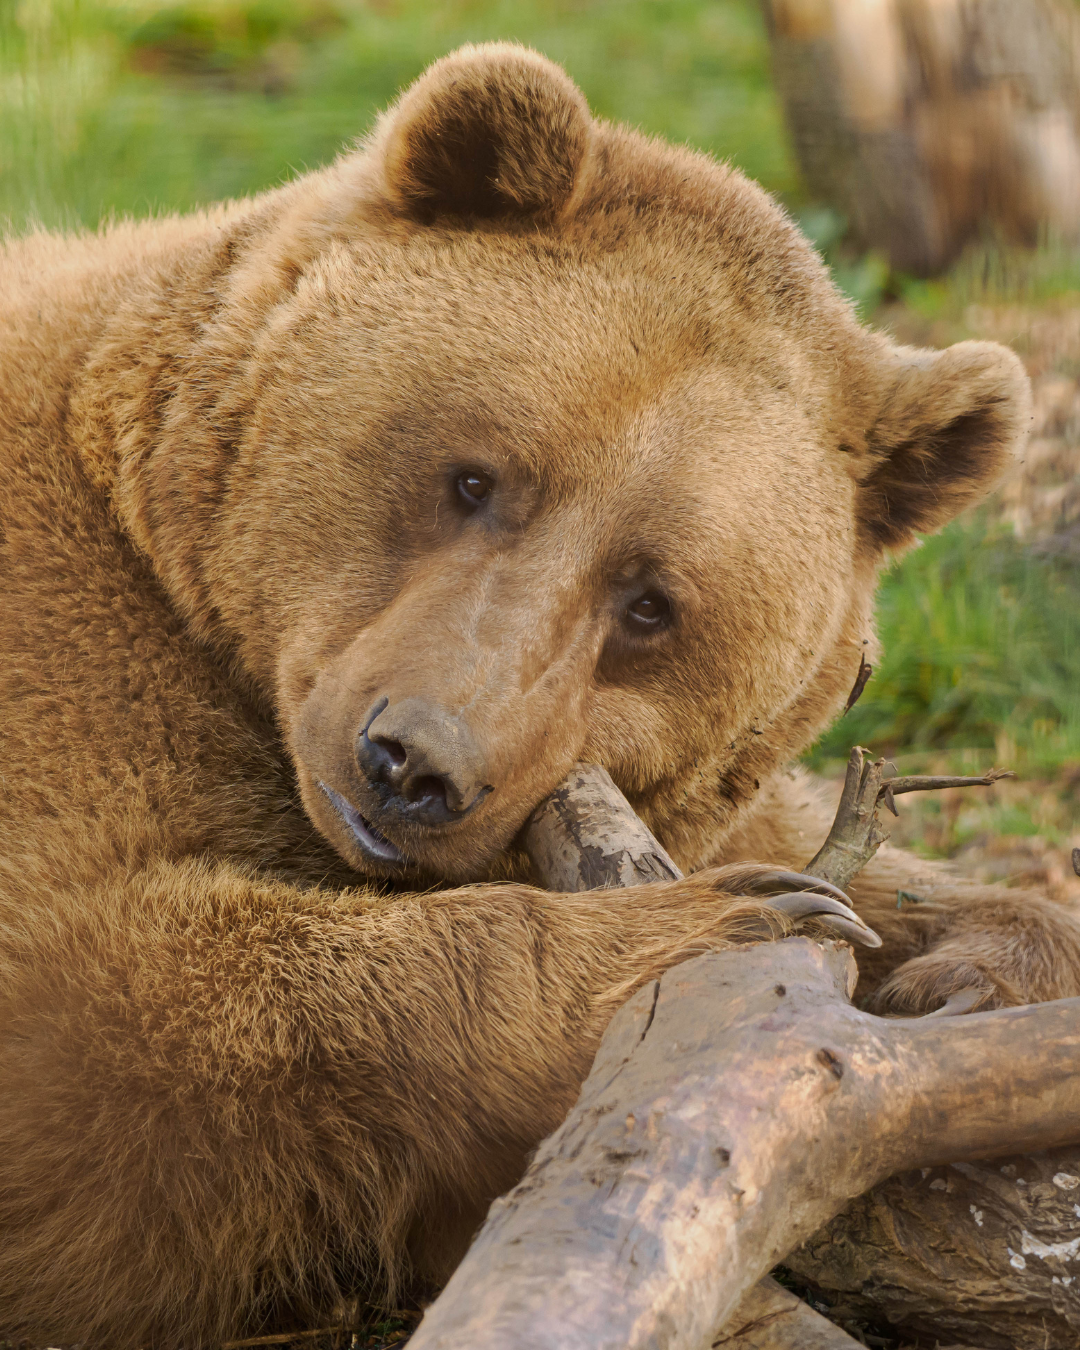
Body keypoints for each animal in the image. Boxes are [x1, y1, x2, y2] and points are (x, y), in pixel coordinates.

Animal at [3, 40, 1079, 1349]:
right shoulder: (68, 671)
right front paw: (725, 924)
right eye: (475, 476)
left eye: (652, 601)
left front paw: (954, 976)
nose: (416, 764)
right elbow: (93, 1025)